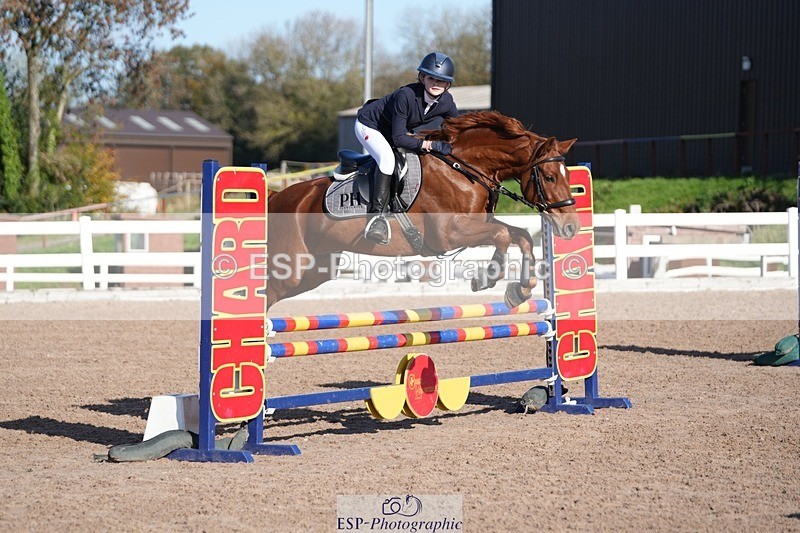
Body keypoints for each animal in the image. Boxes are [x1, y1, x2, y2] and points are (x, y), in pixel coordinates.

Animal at [266, 110, 579, 309]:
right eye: (550, 177)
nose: (571, 227)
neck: (463, 167)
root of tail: (277, 197)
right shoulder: (448, 234)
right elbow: (502, 235)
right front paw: (487, 277)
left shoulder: (477, 224)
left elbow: (520, 235)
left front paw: (521, 289)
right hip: (291, 267)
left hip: (316, 269)